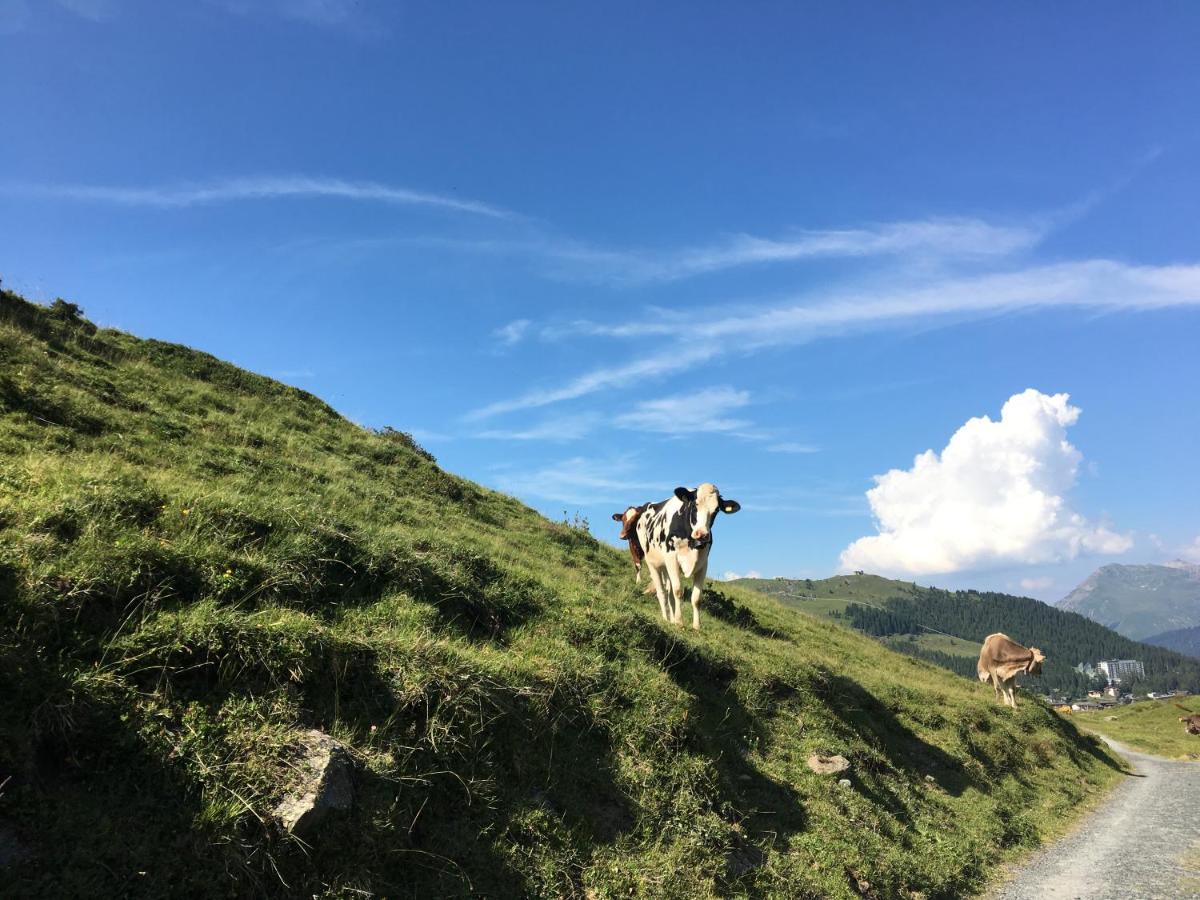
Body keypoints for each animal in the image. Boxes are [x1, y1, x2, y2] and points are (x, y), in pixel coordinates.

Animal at [638, 482, 739, 628]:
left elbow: (696, 598)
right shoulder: (672, 558)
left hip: (666, 568)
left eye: (716, 510)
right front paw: (679, 622)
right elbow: (678, 591)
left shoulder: (703, 564)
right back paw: (666, 619)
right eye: (695, 505)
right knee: (661, 592)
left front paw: (696, 626)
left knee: (668, 592)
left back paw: (672, 619)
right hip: (652, 562)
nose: (702, 534)